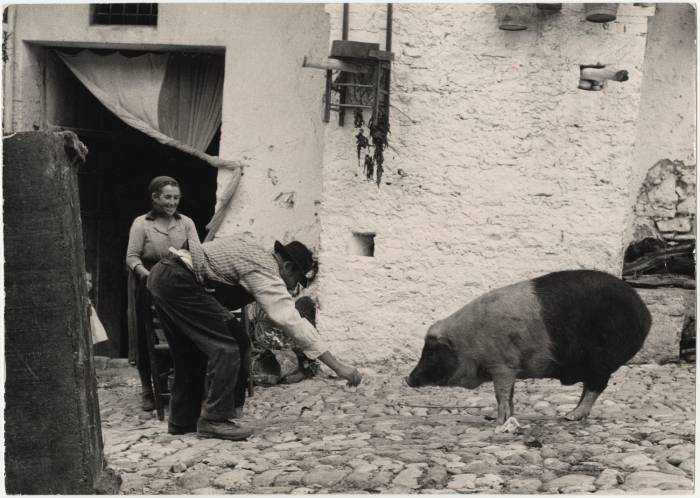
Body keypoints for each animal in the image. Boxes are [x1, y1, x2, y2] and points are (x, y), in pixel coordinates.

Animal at [408, 268, 652, 424]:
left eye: (431, 353)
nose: (407, 379)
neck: (467, 342)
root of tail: (645, 314)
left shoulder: (502, 364)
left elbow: (501, 393)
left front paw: (498, 422)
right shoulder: (509, 368)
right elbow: (509, 394)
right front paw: (506, 418)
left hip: (601, 360)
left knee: (595, 387)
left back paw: (571, 416)